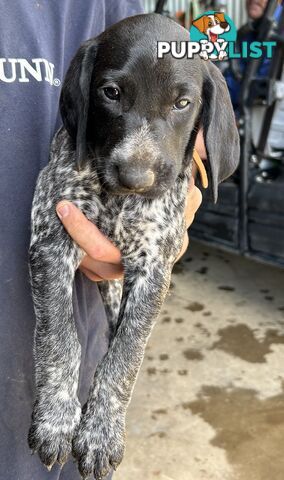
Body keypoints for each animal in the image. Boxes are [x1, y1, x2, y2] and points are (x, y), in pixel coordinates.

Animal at [27, 13, 240, 480]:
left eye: (182, 103)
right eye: (111, 93)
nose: (136, 177)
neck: (119, 202)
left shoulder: (154, 270)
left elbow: (125, 355)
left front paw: (101, 431)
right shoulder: (51, 241)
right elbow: (60, 337)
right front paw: (56, 419)